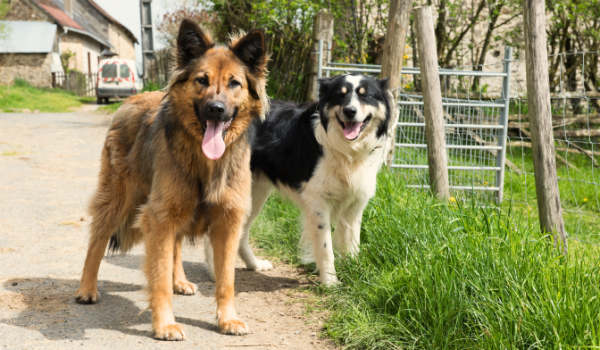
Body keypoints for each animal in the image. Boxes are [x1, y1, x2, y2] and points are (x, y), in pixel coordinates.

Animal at [74, 19, 268, 340]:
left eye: (234, 83)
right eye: (202, 80)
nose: (216, 109)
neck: (205, 160)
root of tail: (132, 99)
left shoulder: (227, 222)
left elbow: (226, 280)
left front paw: (227, 319)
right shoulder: (159, 218)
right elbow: (159, 277)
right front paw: (164, 324)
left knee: (175, 247)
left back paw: (180, 281)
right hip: (118, 198)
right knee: (97, 239)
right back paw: (86, 288)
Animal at [206, 74, 392, 284]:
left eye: (365, 95)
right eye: (339, 95)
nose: (350, 111)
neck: (347, 151)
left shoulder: (355, 203)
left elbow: (352, 244)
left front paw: (354, 276)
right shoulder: (317, 201)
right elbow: (325, 248)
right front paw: (330, 283)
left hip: (255, 192)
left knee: (242, 231)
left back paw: (254, 264)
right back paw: (216, 273)